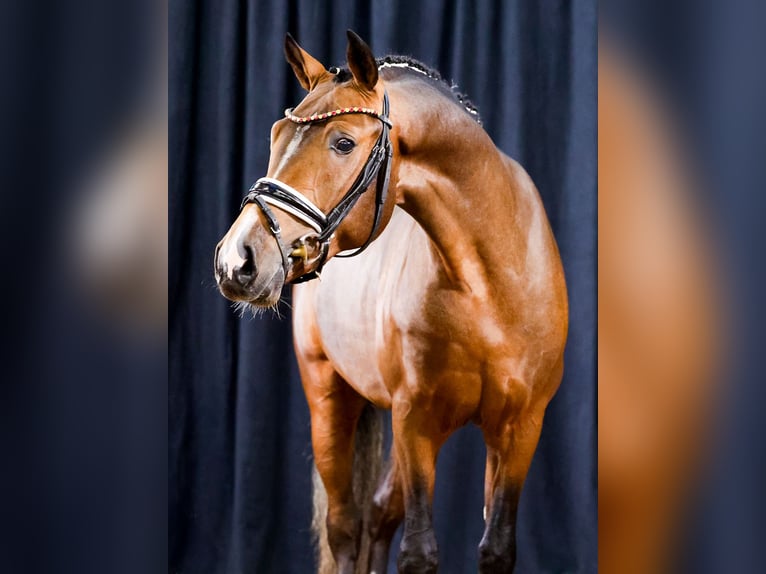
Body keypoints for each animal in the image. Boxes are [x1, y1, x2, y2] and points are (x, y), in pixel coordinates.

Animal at [216, 31, 568, 574]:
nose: (238, 259)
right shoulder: (414, 421)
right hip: (330, 398)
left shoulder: (520, 427)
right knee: (344, 526)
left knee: (379, 514)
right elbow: (418, 552)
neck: (489, 286)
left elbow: (496, 548)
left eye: (343, 142)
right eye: (275, 134)